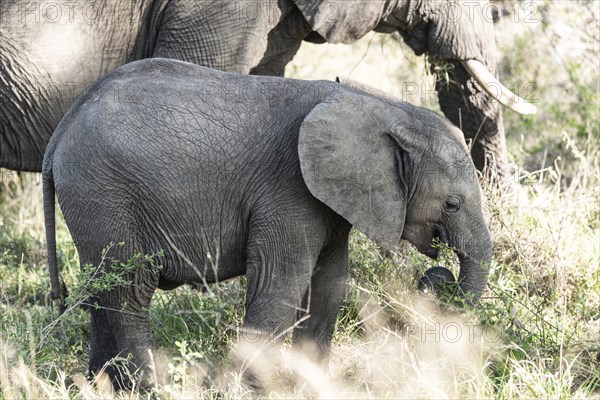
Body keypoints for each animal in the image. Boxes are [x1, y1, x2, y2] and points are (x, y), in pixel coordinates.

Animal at [43, 58, 492, 388]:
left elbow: (328, 285)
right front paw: (242, 390)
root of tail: (60, 131)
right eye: (452, 204)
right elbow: (282, 284)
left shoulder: (327, 201)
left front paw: (310, 386)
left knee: (102, 290)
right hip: (103, 191)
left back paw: (100, 386)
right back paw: (148, 388)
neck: (376, 106)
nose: (437, 276)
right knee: (130, 289)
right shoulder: (288, 188)